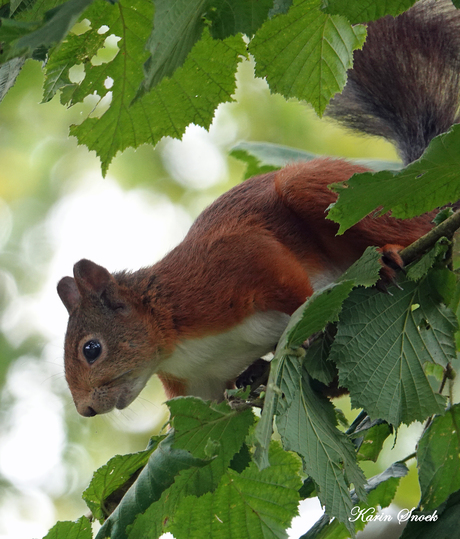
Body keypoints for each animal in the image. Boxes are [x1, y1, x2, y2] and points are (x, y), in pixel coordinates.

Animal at [57, 0, 460, 418]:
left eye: (91, 349)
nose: (85, 409)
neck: (171, 339)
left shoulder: (228, 266)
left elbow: (286, 281)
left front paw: (309, 325)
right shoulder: (199, 384)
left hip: (338, 196)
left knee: (411, 230)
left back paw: (390, 254)